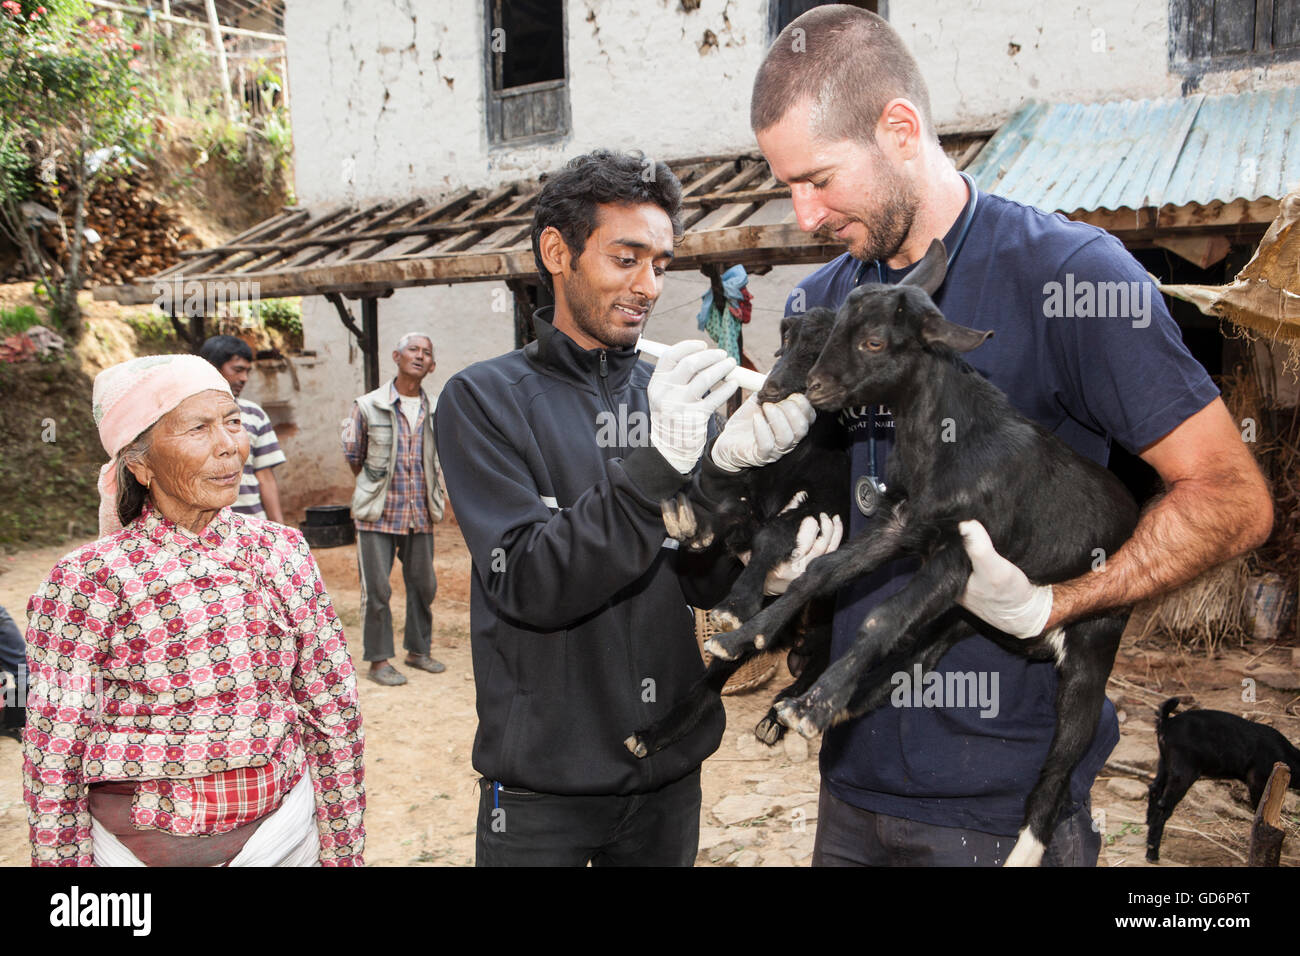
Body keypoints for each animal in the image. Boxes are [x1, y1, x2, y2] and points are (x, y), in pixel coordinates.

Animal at [624, 310, 847, 759]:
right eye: (787, 342)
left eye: (823, 351)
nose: (769, 392)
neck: (803, 450)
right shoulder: (753, 495)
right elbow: (734, 519)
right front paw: (693, 527)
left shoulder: (822, 507)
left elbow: (772, 537)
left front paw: (737, 602)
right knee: (712, 681)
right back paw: (654, 733)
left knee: (817, 666)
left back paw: (777, 716)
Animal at [712, 239, 1138, 868]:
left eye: (873, 342)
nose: (813, 389)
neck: (945, 441)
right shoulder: (904, 527)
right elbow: (821, 573)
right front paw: (746, 637)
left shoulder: (963, 554)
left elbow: (881, 615)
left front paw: (809, 707)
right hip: (963, 617)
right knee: (915, 661)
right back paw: (840, 703)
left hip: (1091, 646)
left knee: (1060, 765)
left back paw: (1024, 849)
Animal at [1149, 697, 1300, 863]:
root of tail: (1166, 723)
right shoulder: (1258, 781)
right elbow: (1259, 810)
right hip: (1183, 769)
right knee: (1164, 804)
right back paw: (1152, 853)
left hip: (1165, 762)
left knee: (1154, 788)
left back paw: (1148, 824)